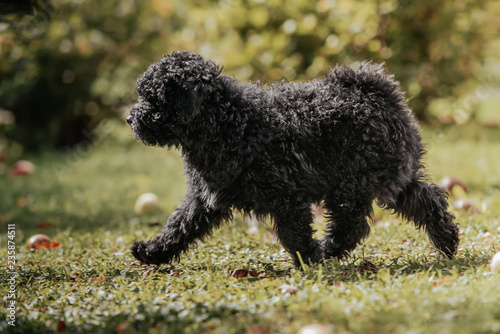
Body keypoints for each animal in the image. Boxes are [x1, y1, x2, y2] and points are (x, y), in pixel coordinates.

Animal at [127, 51, 458, 268]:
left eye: (153, 99)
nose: (130, 118)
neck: (225, 120)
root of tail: (376, 90)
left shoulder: (286, 195)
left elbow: (295, 232)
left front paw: (308, 260)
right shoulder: (203, 198)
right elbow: (179, 226)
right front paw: (153, 251)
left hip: (351, 184)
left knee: (351, 225)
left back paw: (329, 250)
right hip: (392, 176)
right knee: (427, 200)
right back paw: (447, 242)